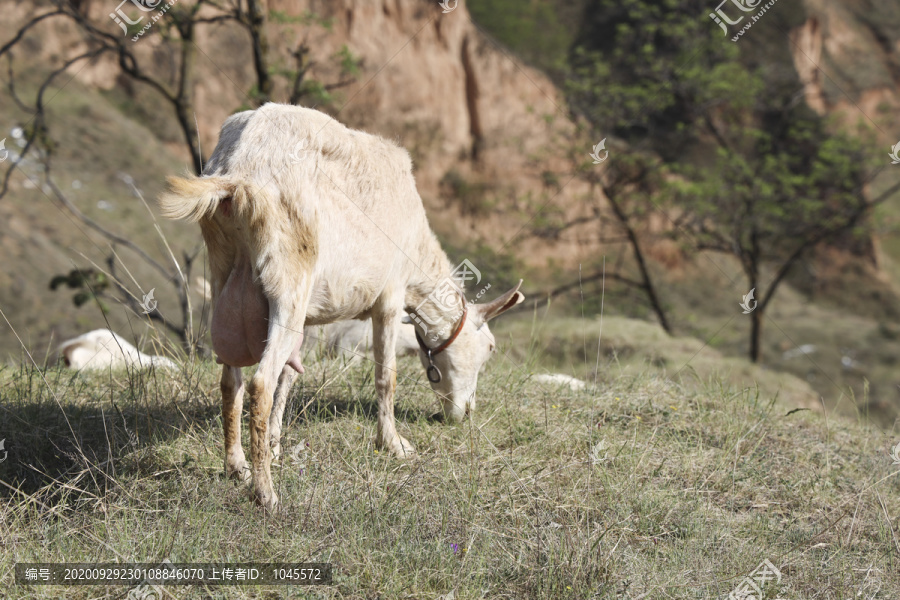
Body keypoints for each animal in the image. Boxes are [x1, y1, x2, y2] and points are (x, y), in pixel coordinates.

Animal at [159, 104, 524, 510]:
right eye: (489, 348)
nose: (466, 413)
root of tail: (238, 170)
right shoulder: (389, 296)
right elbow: (386, 376)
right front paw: (392, 444)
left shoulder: (313, 316)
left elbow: (291, 377)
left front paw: (275, 445)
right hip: (289, 275)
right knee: (260, 383)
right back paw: (265, 493)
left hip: (225, 271)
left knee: (231, 379)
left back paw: (237, 466)